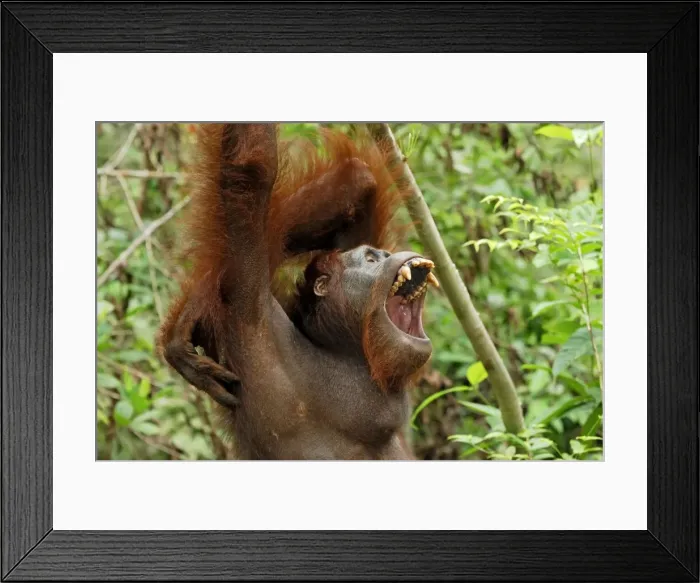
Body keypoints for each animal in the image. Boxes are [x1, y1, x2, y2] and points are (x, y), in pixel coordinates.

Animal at [158, 123, 439, 460]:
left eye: (381, 255)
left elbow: (359, 178)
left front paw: (194, 309)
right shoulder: (254, 315)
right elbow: (253, 167)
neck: (345, 349)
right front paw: (191, 316)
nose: (386, 255)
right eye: (371, 260)